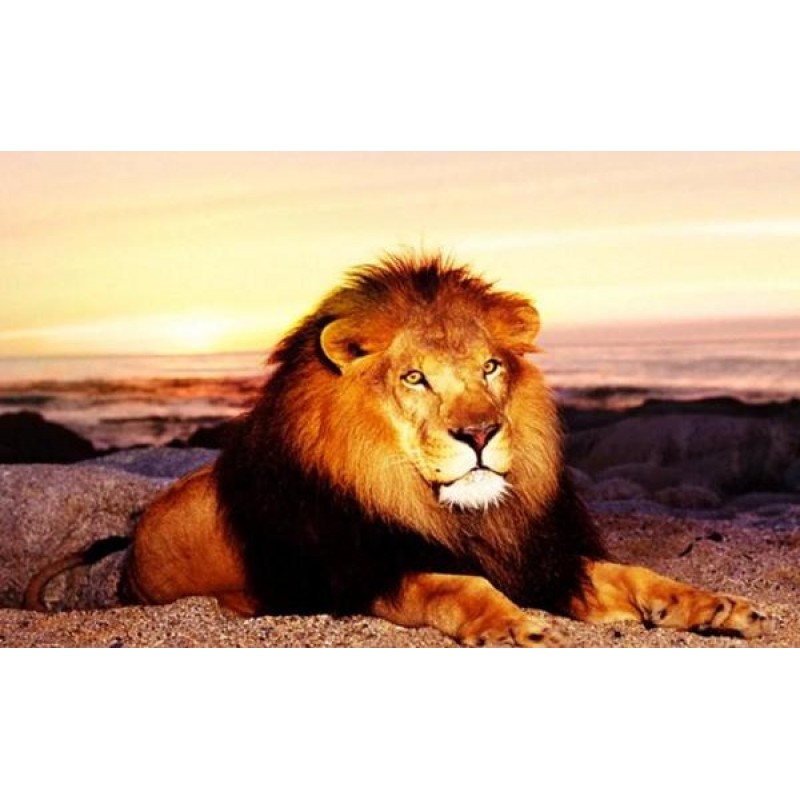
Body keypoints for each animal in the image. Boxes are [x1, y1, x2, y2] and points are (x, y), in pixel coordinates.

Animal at [24, 252, 771, 646]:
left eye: (490, 368)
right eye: (415, 378)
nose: (480, 434)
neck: (456, 513)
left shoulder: (542, 557)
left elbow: (640, 575)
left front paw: (720, 606)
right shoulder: (367, 572)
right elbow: (455, 583)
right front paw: (520, 626)